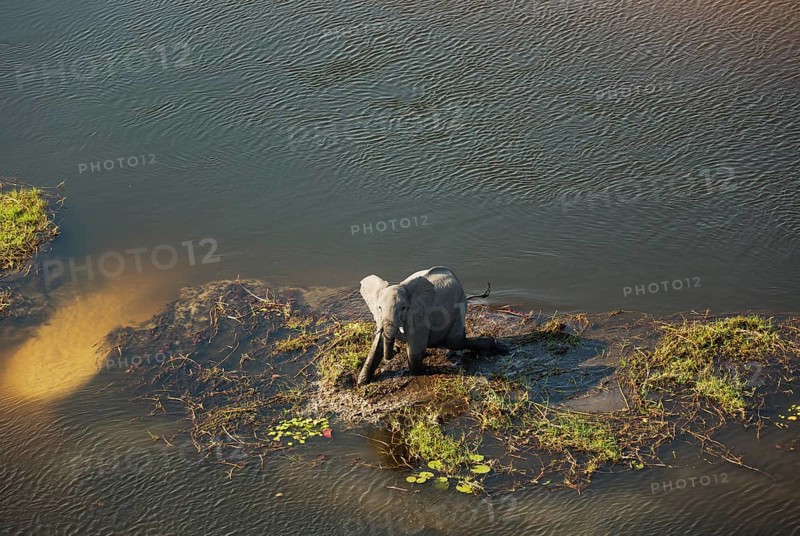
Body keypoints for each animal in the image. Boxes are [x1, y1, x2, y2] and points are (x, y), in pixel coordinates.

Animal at [356, 266, 497, 385]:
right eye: (379, 308)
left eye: (404, 308)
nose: (397, 349)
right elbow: (376, 346)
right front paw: (362, 381)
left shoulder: (419, 316)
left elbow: (415, 349)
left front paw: (417, 372)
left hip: (460, 305)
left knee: (455, 342)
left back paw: (490, 343)